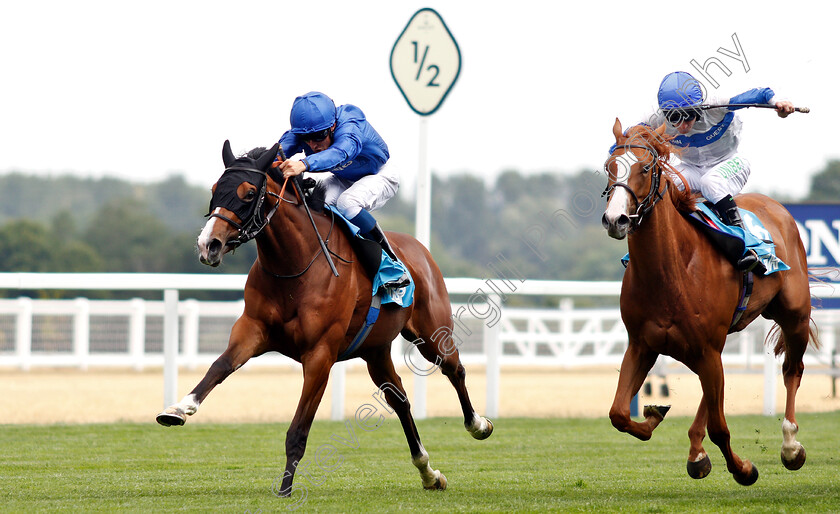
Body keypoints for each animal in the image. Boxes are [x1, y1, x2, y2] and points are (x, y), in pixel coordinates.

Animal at [158, 140, 492, 492]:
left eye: (248, 193)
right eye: (214, 189)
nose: (209, 244)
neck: (294, 265)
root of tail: (420, 249)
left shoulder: (320, 354)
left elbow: (298, 429)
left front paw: (285, 489)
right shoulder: (252, 331)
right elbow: (219, 367)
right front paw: (179, 408)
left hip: (431, 333)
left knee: (454, 369)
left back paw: (478, 425)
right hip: (375, 350)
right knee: (399, 397)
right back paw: (428, 472)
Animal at [600, 120, 816, 484]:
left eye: (644, 168)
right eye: (609, 167)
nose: (616, 219)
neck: (671, 270)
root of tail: (776, 207)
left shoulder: (705, 347)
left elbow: (720, 428)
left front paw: (744, 469)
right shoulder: (643, 344)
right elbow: (618, 413)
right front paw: (655, 415)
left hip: (794, 315)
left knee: (792, 370)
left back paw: (790, 446)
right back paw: (696, 452)